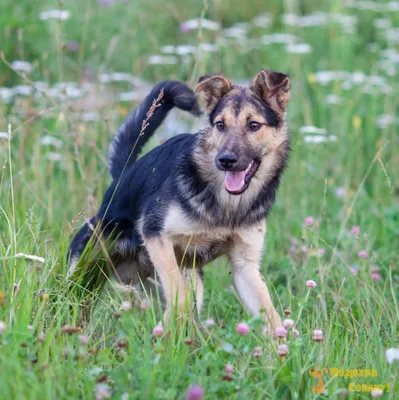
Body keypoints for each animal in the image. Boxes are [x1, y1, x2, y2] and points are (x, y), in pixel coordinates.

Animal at [69, 69, 292, 332]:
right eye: (220, 125)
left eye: (254, 125)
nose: (225, 160)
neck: (226, 204)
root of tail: (123, 176)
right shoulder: (155, 235)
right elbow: (181, 298)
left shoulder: (244, 267)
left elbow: (272, 317)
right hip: (83, 270)